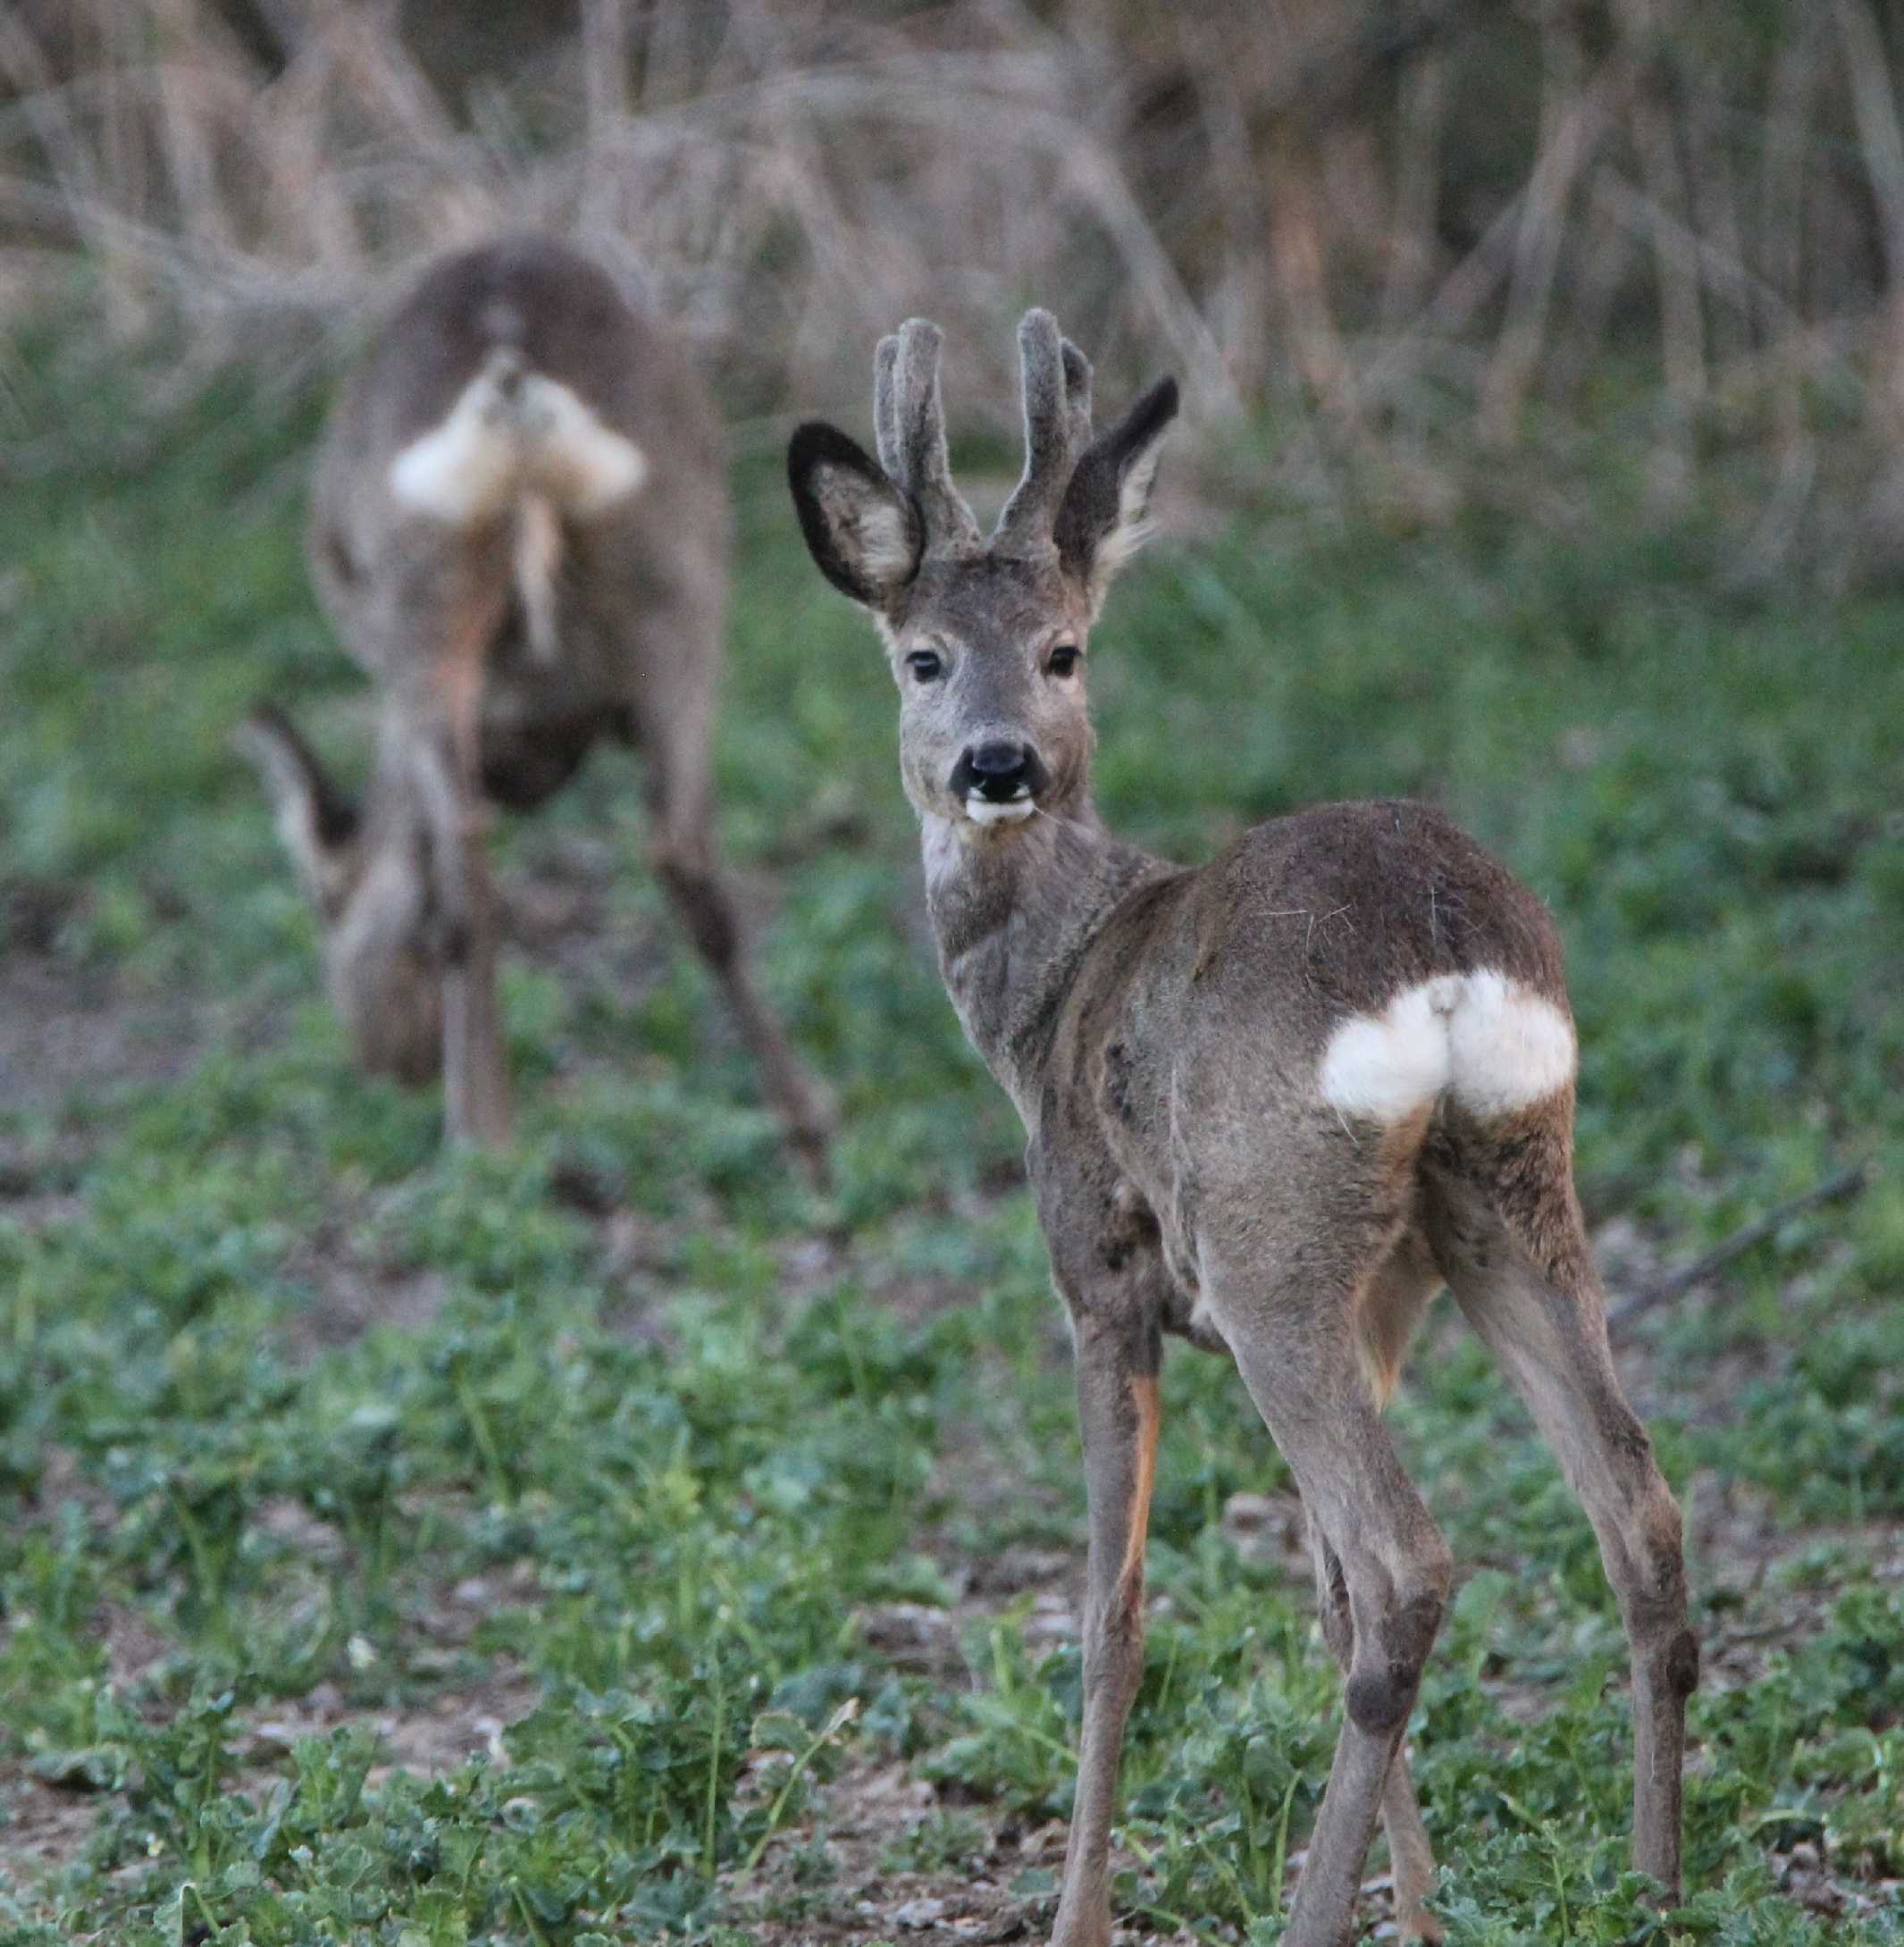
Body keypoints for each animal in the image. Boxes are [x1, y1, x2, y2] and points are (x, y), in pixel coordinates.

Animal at [241, 233, 829, 1160]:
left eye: (321, 902)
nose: (385, 1065)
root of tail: (513, 390)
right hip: (678, 592)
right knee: (683, 850)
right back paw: (807, 1130)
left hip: (418, 612)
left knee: (465, 872)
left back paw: (479, 1140)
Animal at [782, 319, 1690, 1947]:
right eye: (923, 654)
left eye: (1063, 650)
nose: (997, 762)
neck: (1049, 992)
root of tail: (1437, 955)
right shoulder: (1381, 1307)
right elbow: (1308, 1594)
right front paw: (1424, 1907)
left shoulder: (1098, 1277)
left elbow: (1114, 1608)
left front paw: (1079, 1912)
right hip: (1505, 1194)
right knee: (1631, 1516)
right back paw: (1651, 1886)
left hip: (1275, 1241)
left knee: (1405, 1561)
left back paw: (1313, 1914)